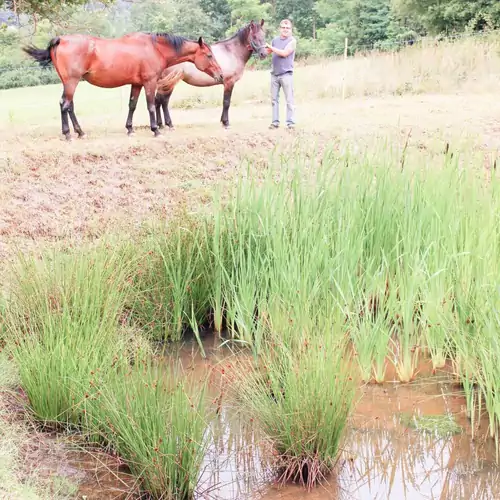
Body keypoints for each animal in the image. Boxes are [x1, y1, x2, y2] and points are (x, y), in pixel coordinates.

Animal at [23, 32, 223, 139]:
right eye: (209, 55)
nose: (221, 75)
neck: (154, 48)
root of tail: (61, 40)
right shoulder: (149, 83)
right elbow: (151, 106)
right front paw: (156, 130)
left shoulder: (136, 84)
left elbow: (132, 105)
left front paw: (130, 129)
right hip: (72, 82)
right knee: (65, 105)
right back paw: (68, 134)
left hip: (69, 83)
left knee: (69, 106)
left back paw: (80, 132)